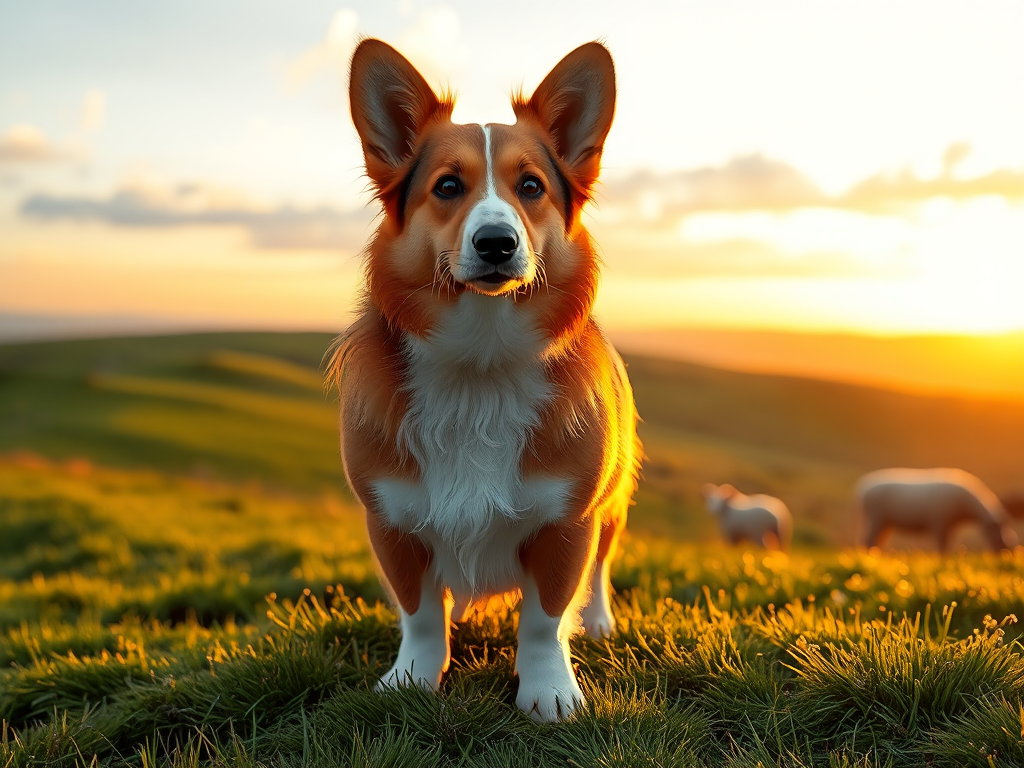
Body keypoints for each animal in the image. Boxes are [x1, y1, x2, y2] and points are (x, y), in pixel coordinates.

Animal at [855, 468, 1018, 551]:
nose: (1007, 550)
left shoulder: (949, 526)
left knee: (876, 542)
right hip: (875, 519)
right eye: (998, 531)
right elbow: (943, 547)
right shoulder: (940, 524)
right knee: (868, 541)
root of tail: (863, 487)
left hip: (884, 523)